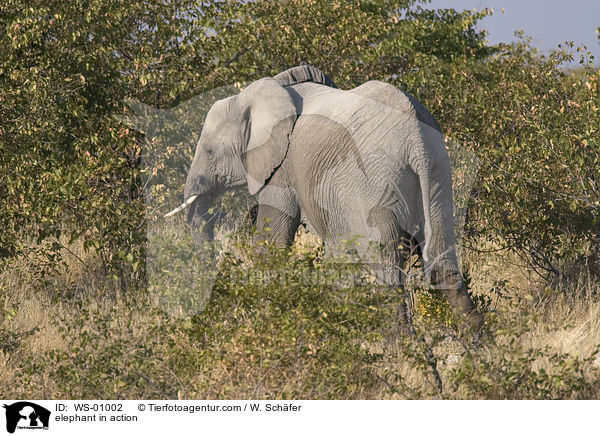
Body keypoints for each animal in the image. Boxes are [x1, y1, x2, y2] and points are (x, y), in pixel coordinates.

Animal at [165, 64, 482, 328]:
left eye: (209, 152)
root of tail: (416, 141)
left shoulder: (283, 168)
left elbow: (272, 241)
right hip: (439, 176)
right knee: (443, 262)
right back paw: (479, 353)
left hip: (376, 181)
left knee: (386, 267)